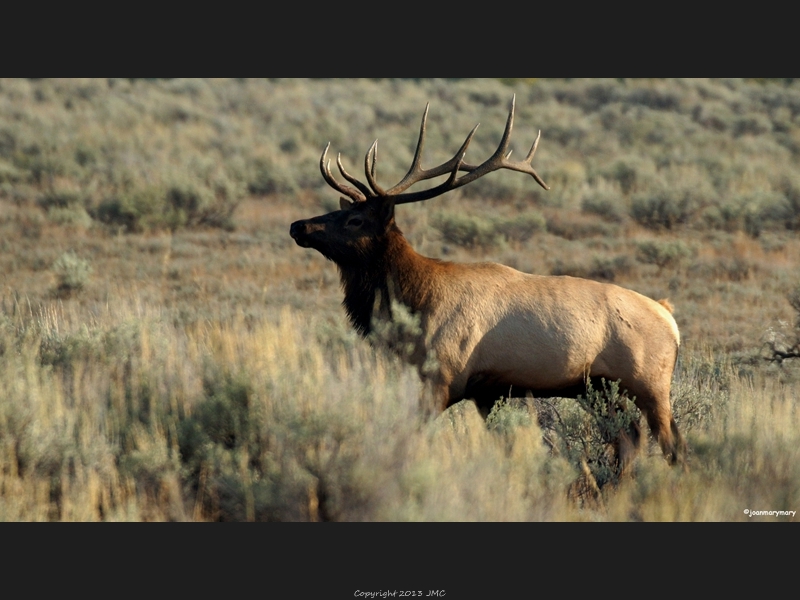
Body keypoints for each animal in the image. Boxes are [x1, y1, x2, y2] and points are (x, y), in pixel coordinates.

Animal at [290, 96, 688, 466]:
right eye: (341, 210)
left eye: (355, 220)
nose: (299, 226)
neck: (415, 304)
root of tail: (670, 319)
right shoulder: (486, 392)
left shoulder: (443, 377)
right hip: (601, 389)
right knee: (630, 439)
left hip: (650, 382)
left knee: (672, 444)